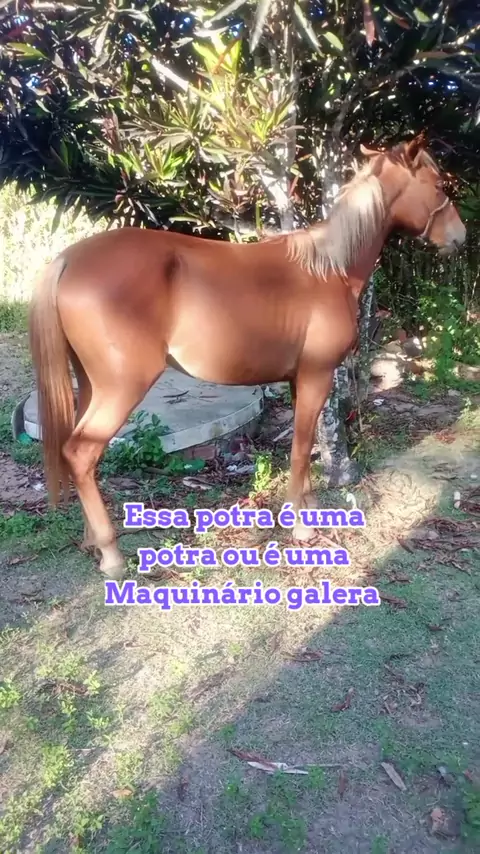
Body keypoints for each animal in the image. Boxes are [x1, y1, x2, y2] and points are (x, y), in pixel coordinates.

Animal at [28, 134, 466, 580]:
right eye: (438, 185)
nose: (460, 236)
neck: (329, 269)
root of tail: (69, 259)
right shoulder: (317, 375)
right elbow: (300, 448)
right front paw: (301, 526)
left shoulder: (299, 379)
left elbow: (307, 445)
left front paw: (307, 508)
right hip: (122, 387)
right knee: (81, 452)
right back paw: (112, 554)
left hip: (90, 384)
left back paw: (91, 541)